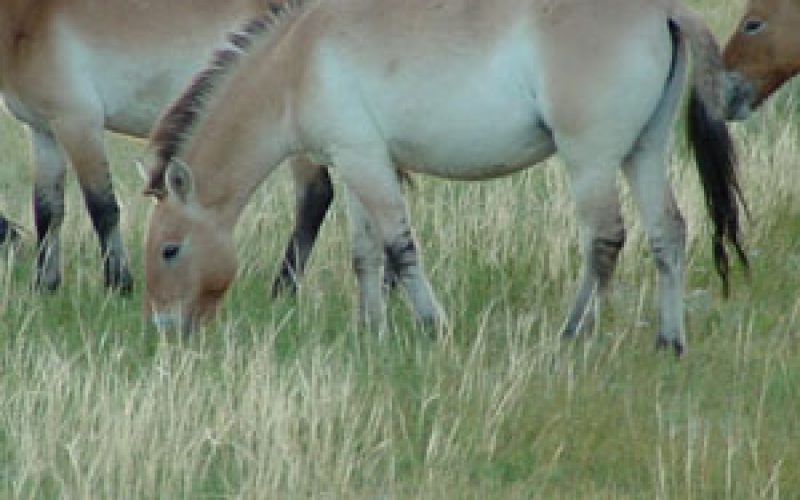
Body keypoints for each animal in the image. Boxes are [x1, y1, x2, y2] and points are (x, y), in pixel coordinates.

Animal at [0, 0, 338, 292]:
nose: (12, 242)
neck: (29, 17)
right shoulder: (43, 130)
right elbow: (47, 210)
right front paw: (44, 286)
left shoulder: (79, 123)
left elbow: (102, 207)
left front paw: (118, 285)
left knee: (314, 195)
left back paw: (283, 290)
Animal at [141, 0, 748, 356]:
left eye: (170, 249)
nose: (165, 331)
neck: (297, 62)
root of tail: (663, 11)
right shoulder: (355, 162)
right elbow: (364, 254)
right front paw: (371, 331)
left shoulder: (366, 163)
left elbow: (398, 247)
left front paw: (432, 327)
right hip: (642, 153)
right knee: (667, 233)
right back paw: (669, 342)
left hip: (591, 161)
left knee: (605, 239)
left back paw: (571, 334)